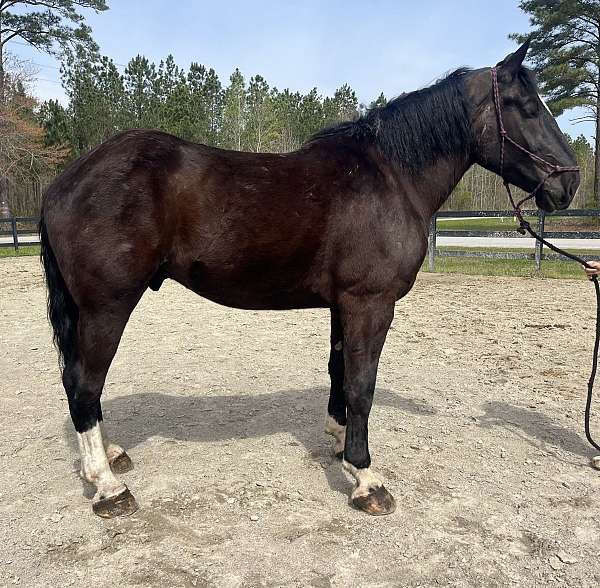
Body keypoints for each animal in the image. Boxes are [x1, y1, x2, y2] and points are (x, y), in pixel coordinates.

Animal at [39, 41, 580, 516]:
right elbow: (362, 383)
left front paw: (341, 445)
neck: (389, 178)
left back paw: (107, 459)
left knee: (79, 383)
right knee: (85, 384)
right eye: (525, 106)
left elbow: (340, 372)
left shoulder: (344, 304)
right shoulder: (370, 302)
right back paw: (108, 488)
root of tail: (66, 181)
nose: (570, 182)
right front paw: (366, 478)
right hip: (107, 306)